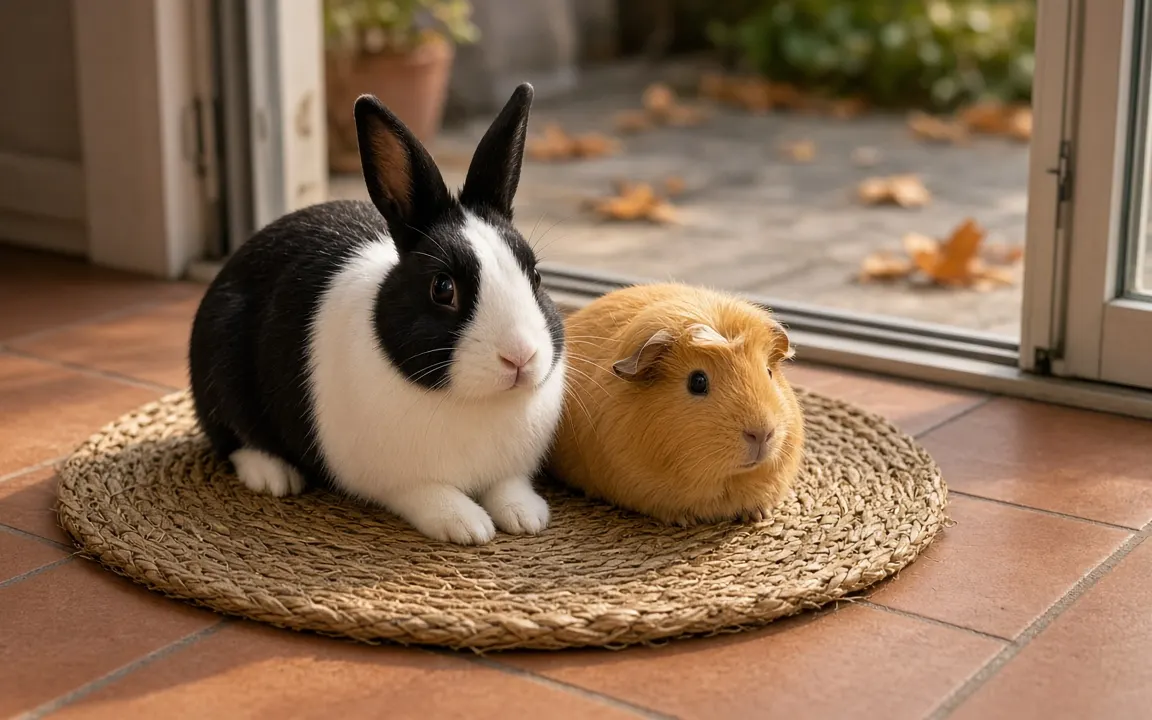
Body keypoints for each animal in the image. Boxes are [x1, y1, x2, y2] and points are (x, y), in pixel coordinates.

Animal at [188, 83, 567, 546]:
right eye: (443, 288)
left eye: (535, 274)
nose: (520, 358)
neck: (477, 402)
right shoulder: (402, 483)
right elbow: (432, 494)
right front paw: (469, 526)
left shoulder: (507, 469)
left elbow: (508, 485)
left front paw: (527, 515)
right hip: (220, 373)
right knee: (233, 439)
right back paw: (274, 476)